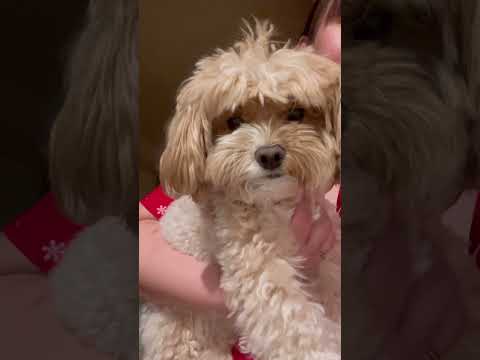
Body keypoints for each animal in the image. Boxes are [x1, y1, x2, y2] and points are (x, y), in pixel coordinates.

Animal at [139, 20, 342, 360]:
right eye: (233, 121)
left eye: (296, 113)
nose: (270, 154)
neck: (277, 204)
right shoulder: (260, 273)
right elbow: (300, 334)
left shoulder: (328, 259)